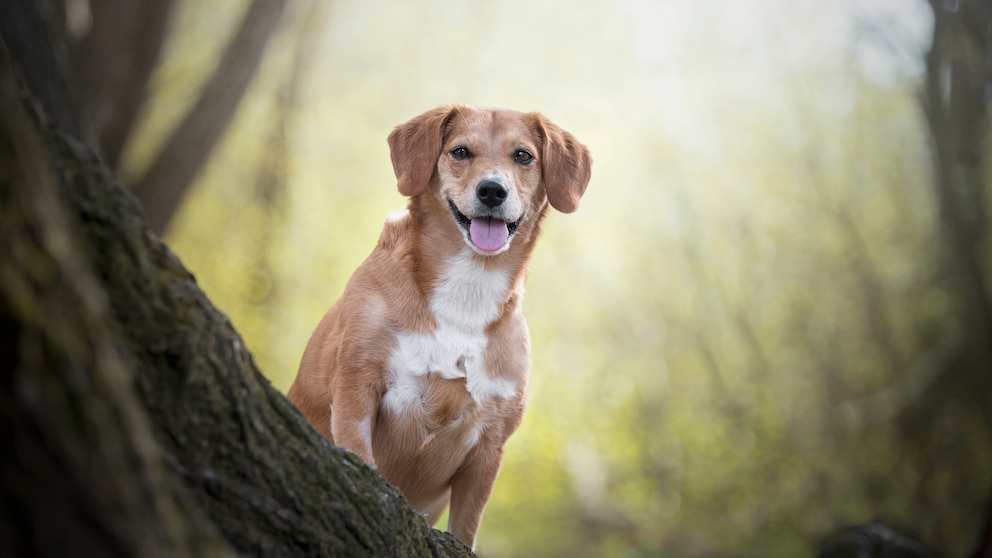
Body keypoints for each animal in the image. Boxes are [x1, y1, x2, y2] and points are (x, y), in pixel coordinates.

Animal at [286, 105, 588, 552]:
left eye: (523, 156)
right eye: (460, 151)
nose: (492, 191)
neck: (468, 288)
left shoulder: (490, 444)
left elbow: (466, 526)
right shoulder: (357, 391)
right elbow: (362, 456)